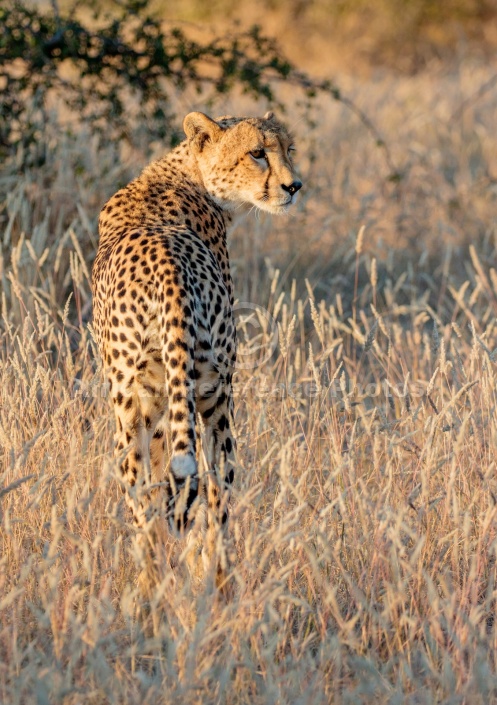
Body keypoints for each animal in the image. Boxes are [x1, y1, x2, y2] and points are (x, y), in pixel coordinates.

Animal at [92, 108, 302, 572]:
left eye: (289, 149)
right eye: (257, 153)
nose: (294, 185)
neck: (189, 173)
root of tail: (167, 260)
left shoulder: (155, 402)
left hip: (135, 404)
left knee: (145, 505)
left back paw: (154, 579)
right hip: (216, 395)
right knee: (216, 497)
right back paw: (217, 578)